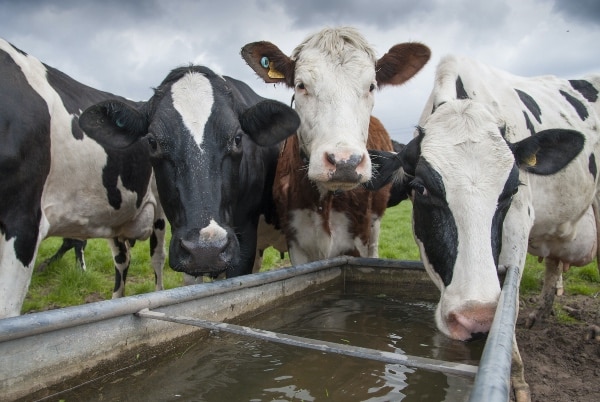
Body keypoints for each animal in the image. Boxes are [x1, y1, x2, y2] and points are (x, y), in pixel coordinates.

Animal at [239, 25, 432, 264]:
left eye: (371, 86)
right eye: (301, 85)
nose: (344, 162)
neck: (326, 200)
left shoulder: (359, 238)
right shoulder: (297, 243)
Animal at [370, 54, 600, 402]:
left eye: (513, 189)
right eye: (420, 188)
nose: (477, 321)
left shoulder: (520, 221)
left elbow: (510, 306)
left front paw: (515, 380)